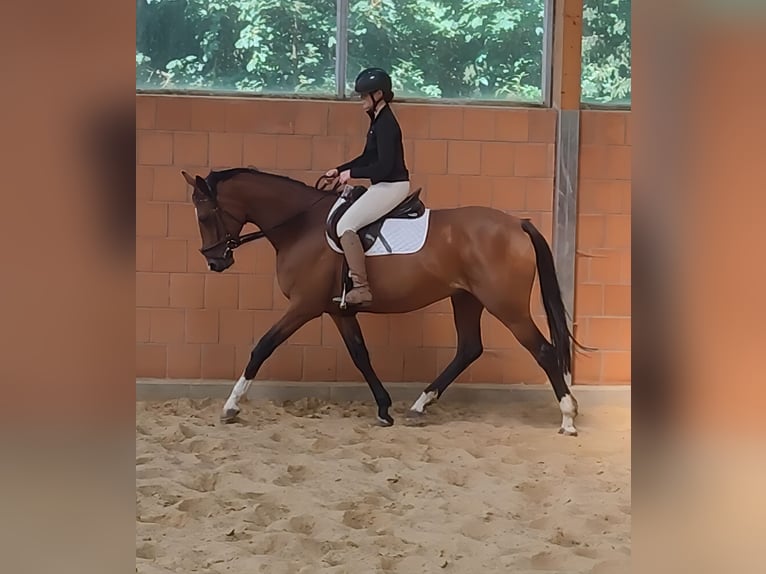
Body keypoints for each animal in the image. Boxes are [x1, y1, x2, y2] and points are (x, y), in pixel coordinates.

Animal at [180, 167, 590, 436]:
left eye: (205, 214)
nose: (215, 261)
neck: (302, 225)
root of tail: (517, 223)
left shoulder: (304, 306)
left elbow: (262, 347)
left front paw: (231, 405)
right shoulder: (337, 310)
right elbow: (360, 355)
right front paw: (383, 407)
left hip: (505, 305)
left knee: (542, 350)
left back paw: (568, 417)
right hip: (466, 299)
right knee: (469, 348)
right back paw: (420, 405)